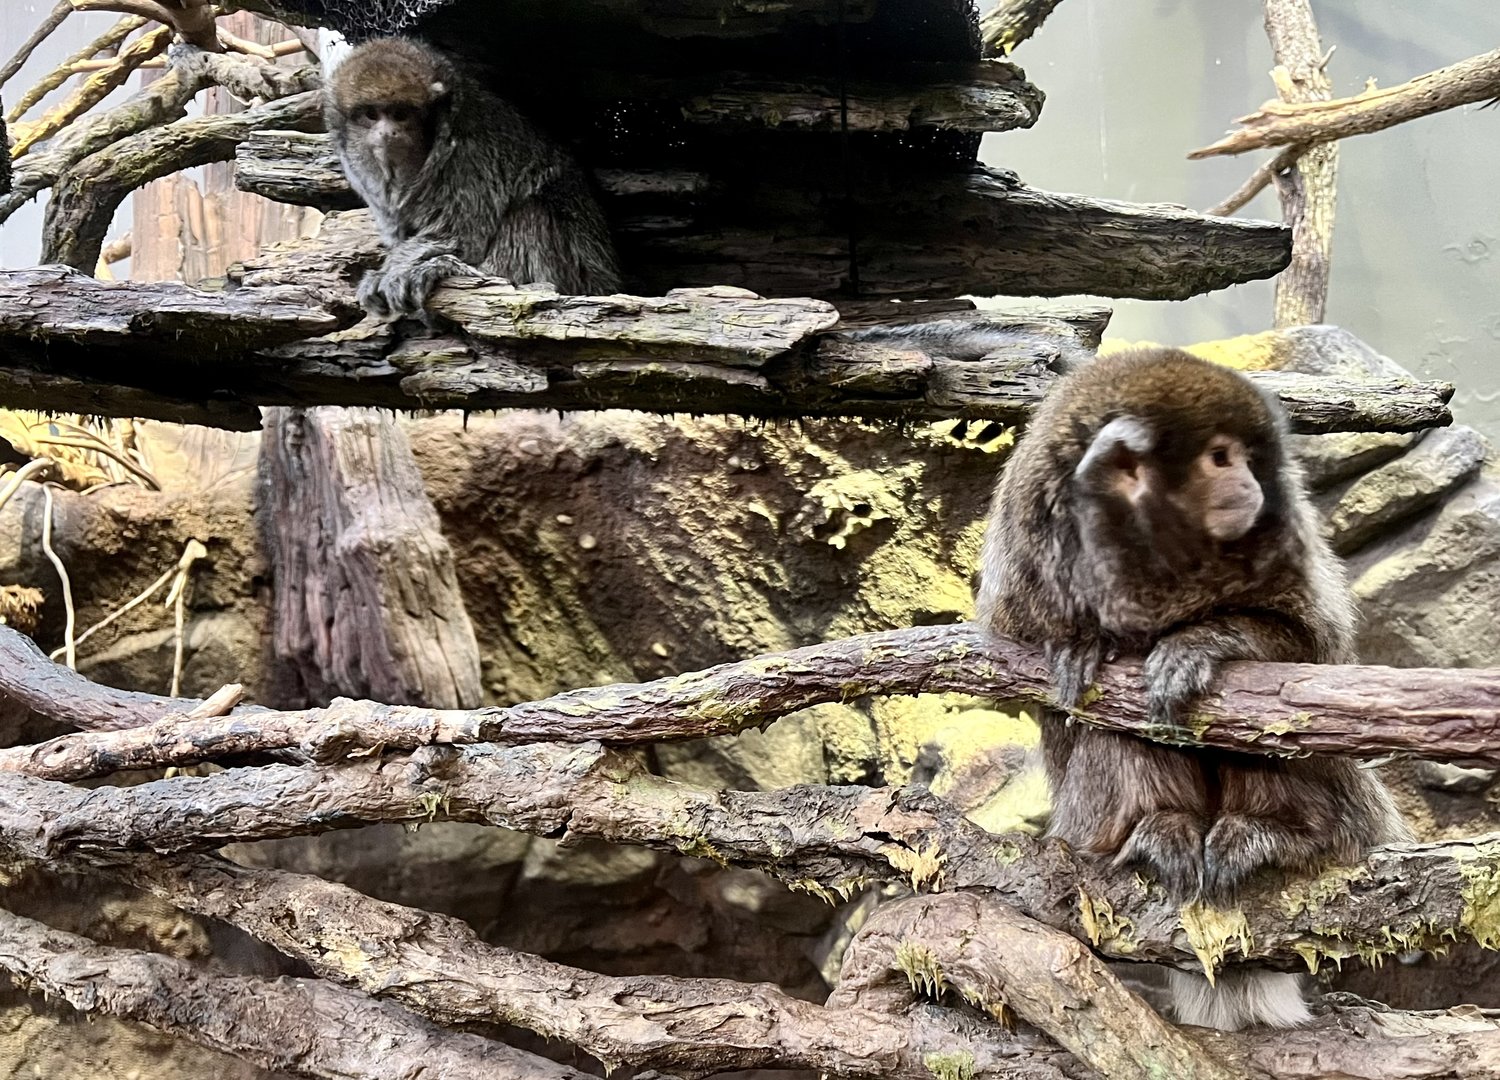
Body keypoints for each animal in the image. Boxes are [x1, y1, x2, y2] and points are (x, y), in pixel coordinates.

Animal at [325, 36, 621, 318]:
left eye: (400, 114)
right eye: (371, 115)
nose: (387, 133)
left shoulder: (469, 158)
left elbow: (461, 237)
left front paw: (395, 270)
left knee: (531, 212)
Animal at [974, 346, 1408, 1030]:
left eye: (1248, 459)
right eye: (1219, 459)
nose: (1250, 484)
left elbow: (1320, 649)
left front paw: (1199, 642)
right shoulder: (1029, 541)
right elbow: (1011, 673)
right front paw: (1080, 646)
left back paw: (1276, 836)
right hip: (1081, 821)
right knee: (1114, 728)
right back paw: (1159, 829)